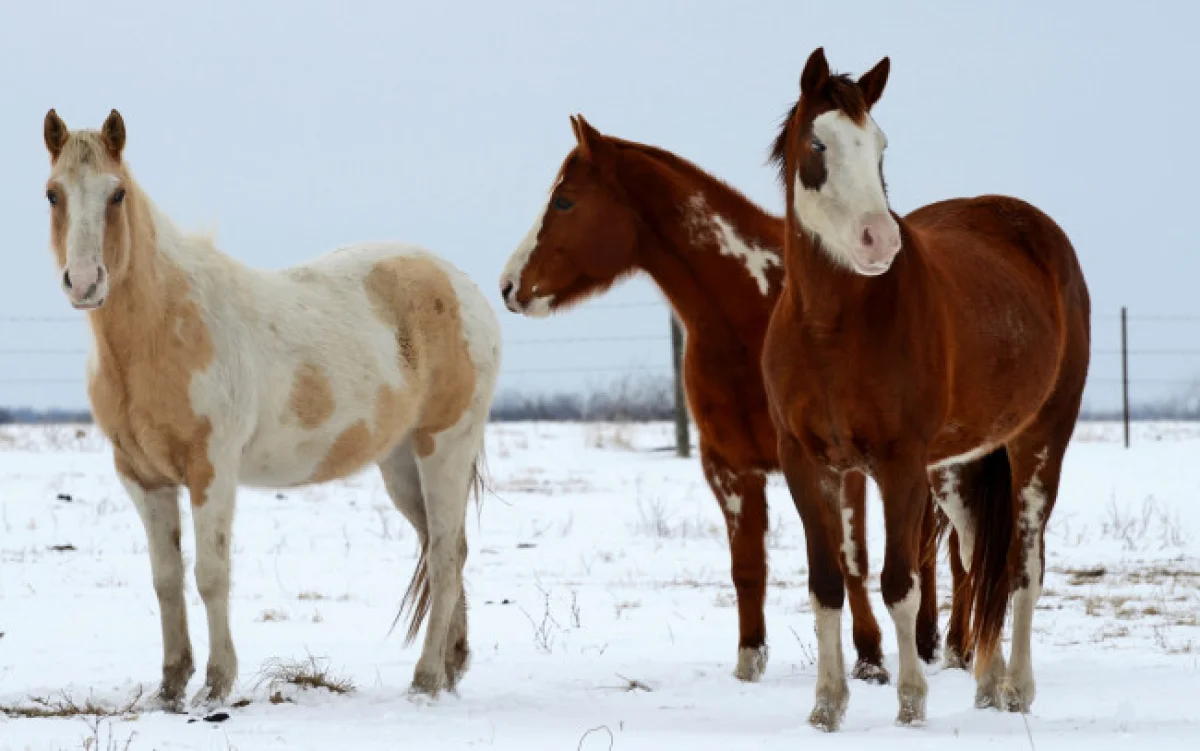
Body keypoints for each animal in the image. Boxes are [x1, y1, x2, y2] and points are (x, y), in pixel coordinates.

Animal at [41, 107, 501, 705]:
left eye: (116, 194)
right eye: (53, 193)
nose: (84, 282)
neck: (163, 328)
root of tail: (465, 290)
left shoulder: (212, 471)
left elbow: (210, 574)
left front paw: (216, 685)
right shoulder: (143, 478)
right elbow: (166, 578)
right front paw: (170, 685)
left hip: (444, 448)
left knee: (445, 556)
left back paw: (425, 680)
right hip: (401, 465)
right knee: (442, 546)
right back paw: (451, 666)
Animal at [496, 113, 955, 681]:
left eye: (564, 201)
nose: (508, 286)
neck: (751, 312)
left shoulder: (844, 465)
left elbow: (852, 560)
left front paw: (870, 659)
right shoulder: (729, 467)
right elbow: (747, 566)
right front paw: (749, 661)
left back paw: (935, 643)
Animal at [763, 49, 1094, 729]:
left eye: (880, 145)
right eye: (818, 143)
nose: (879, 241)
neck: (830, 331)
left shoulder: (899, 464)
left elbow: (900, 584)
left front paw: (911, 703)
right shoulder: (806, 464)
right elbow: (826, 584)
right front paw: (826, 707)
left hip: (1039, 443)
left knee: (1022, 567)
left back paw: (1017, 689)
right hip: (958, 469)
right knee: (977, 557)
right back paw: (988, 685)